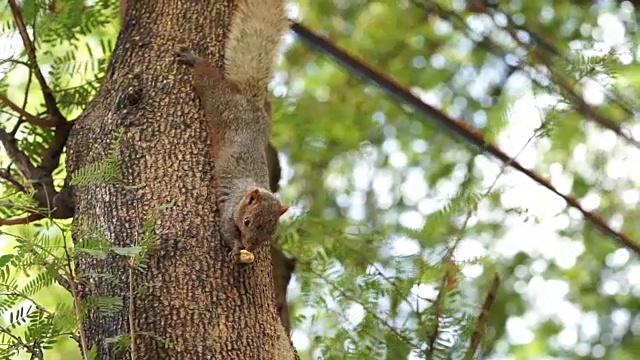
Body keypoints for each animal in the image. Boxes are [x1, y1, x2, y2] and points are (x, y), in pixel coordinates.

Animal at [179, 0, 292, 262]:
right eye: (247, 221)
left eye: (271, 232)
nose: (250, 245)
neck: (244, 195)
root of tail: (247, 100)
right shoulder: (229, 207)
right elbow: (226, 229)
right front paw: (234, 248)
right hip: (217, 99)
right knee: (206, 77)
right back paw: (194, 59)